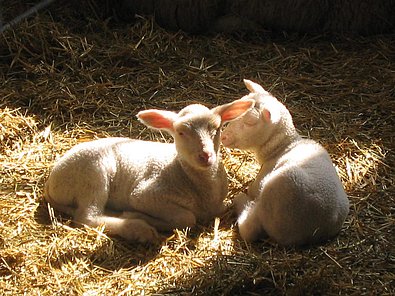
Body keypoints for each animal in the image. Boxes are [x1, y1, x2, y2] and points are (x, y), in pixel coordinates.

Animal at [44, 99, 255, 243]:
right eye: (180, 132)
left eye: (217, 128)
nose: (206, 156)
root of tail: (51, 180)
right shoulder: (145, 194)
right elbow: (186, 218)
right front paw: (139, 217)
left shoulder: (220, 205)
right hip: (93, 176)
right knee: (87, 217)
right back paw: (137, 228)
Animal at [223, 80, 350, 246]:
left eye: (250, 122)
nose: (223, 137)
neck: (284, 145)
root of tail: (318, 229)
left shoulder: (260, 180)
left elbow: (251, 190)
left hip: (275, 195)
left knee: (249, 229)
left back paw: (240, 201)